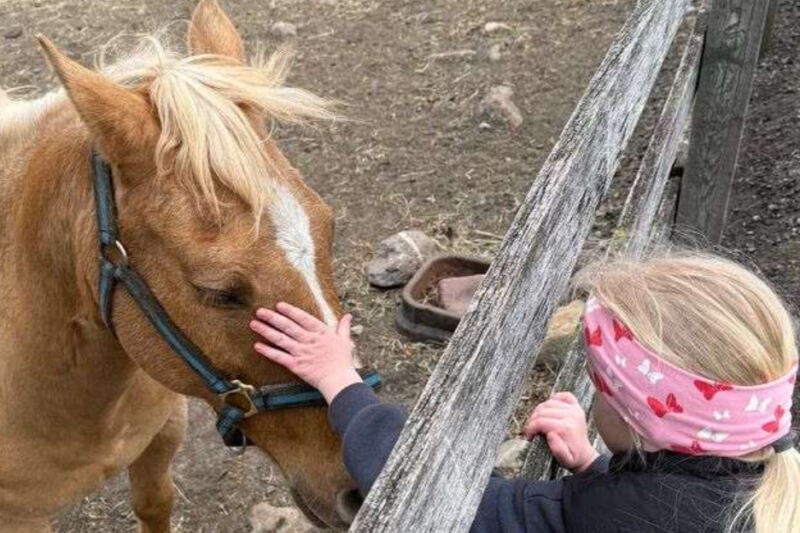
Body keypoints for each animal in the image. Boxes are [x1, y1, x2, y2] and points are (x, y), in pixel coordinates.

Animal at [0, 0, 364, 530]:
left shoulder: (162, 436)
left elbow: (154, 504)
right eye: (217, 292)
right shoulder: (20, 514)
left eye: (328, 227)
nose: (356, 491)